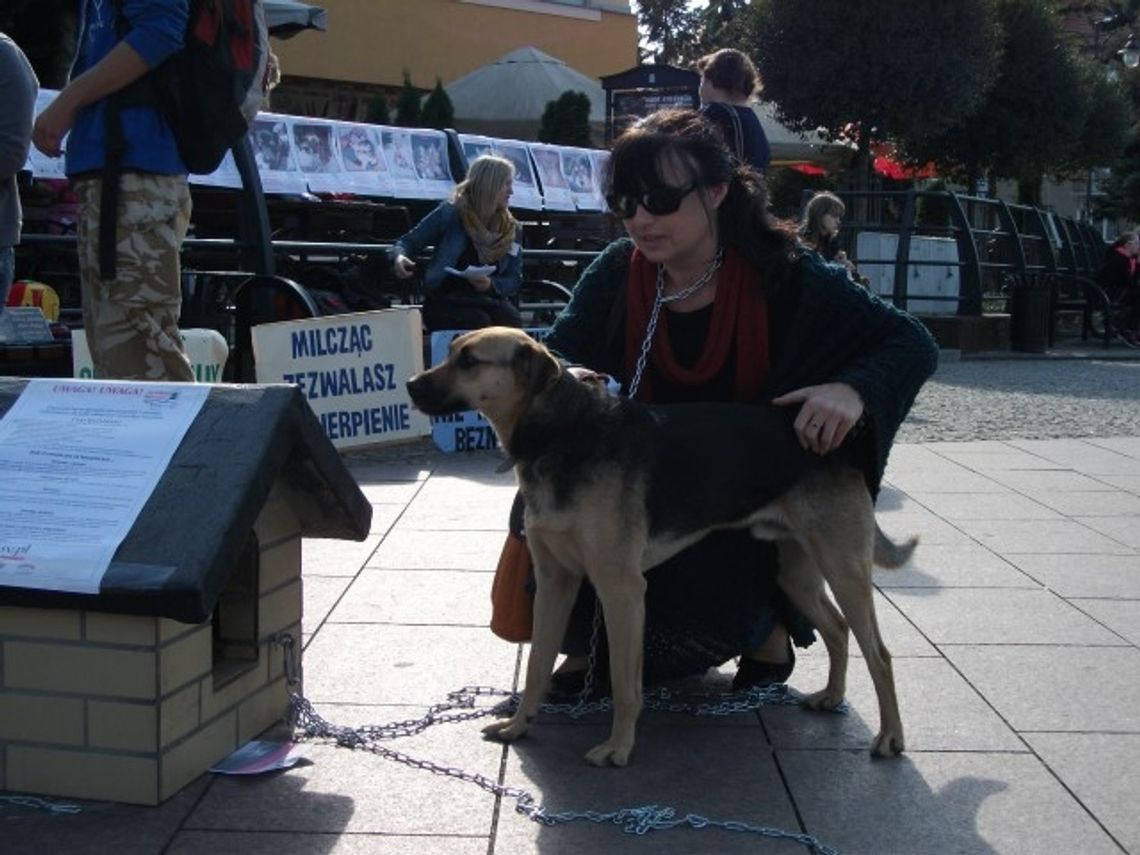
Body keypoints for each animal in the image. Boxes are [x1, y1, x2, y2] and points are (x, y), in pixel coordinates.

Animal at [410, 328, 916, 770]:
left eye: (469, 361)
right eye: (450, 350)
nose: (411, 385)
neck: (561, 432)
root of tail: (839, 449)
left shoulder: (622, 589)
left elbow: (624, 682)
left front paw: (618, 748)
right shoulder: (557, 582)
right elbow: (536, 666)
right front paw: (518, 727)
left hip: (843, 568)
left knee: (880, 653)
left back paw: (890, 737)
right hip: (798, 574)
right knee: (838, 631)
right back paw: (831, 697)